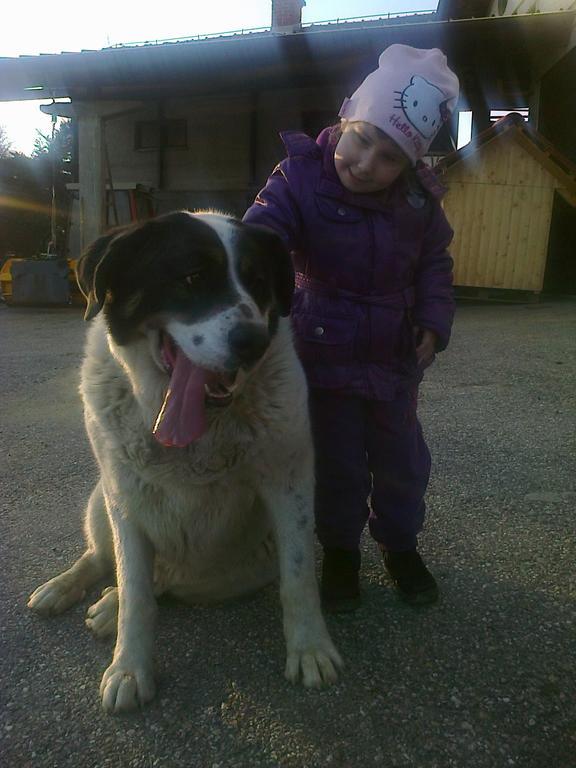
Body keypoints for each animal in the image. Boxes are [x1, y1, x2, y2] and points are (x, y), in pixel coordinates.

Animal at [28, 210, 342, 712]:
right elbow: (135, 591)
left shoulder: (289, 485)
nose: (253, 342)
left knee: (161, 580)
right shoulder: (123, 497)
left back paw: (108, 605)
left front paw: (310, 649)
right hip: (99, 498)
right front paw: (130, 669)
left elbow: (298, 579)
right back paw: (68, 589)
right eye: (192, 278)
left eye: (258, 282)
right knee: (106, 560)